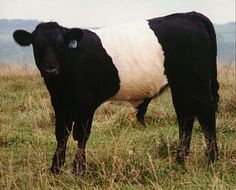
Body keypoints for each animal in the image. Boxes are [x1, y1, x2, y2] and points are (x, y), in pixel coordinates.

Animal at [13, 11, 219, 174]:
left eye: (61, 45)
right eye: (37, 46)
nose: (50, 70)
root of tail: (190, 14)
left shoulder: (85, 102)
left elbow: (81, 135)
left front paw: (78, 169)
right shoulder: (59, 101)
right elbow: (61, 134)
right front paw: (55, 169)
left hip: (197, 85)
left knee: (206, 115)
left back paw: (211, 159)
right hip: (181, 87)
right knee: (186, 118)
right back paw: (180, 160)